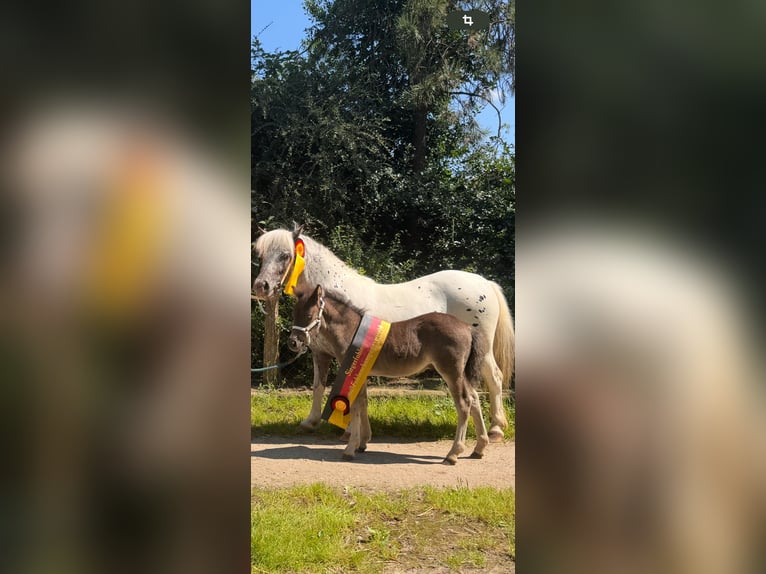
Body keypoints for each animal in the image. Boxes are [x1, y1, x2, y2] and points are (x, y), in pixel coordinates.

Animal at [256, 227, 516, 444]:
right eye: (260, 255)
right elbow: (318, 386)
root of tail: (485, 283)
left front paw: (350, 431)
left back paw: (495, 429)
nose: (261, 286)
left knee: (495, 378)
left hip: (482, 351)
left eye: (285, 255)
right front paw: (310, 423)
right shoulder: (320, 352)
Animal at [292, 286, 488, 466]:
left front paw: (350, 449)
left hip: (451, 372)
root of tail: (467, 327)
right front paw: (362, 443)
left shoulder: (354, 371)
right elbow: (363, 402)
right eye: (295, 314)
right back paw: (479, 448)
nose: (293, 343)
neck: (352, 331)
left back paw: (453, 454)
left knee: (464, 403)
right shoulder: (362, 372)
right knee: (474, 398)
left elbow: (355, 406)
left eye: (308, 315)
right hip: (462, 374)